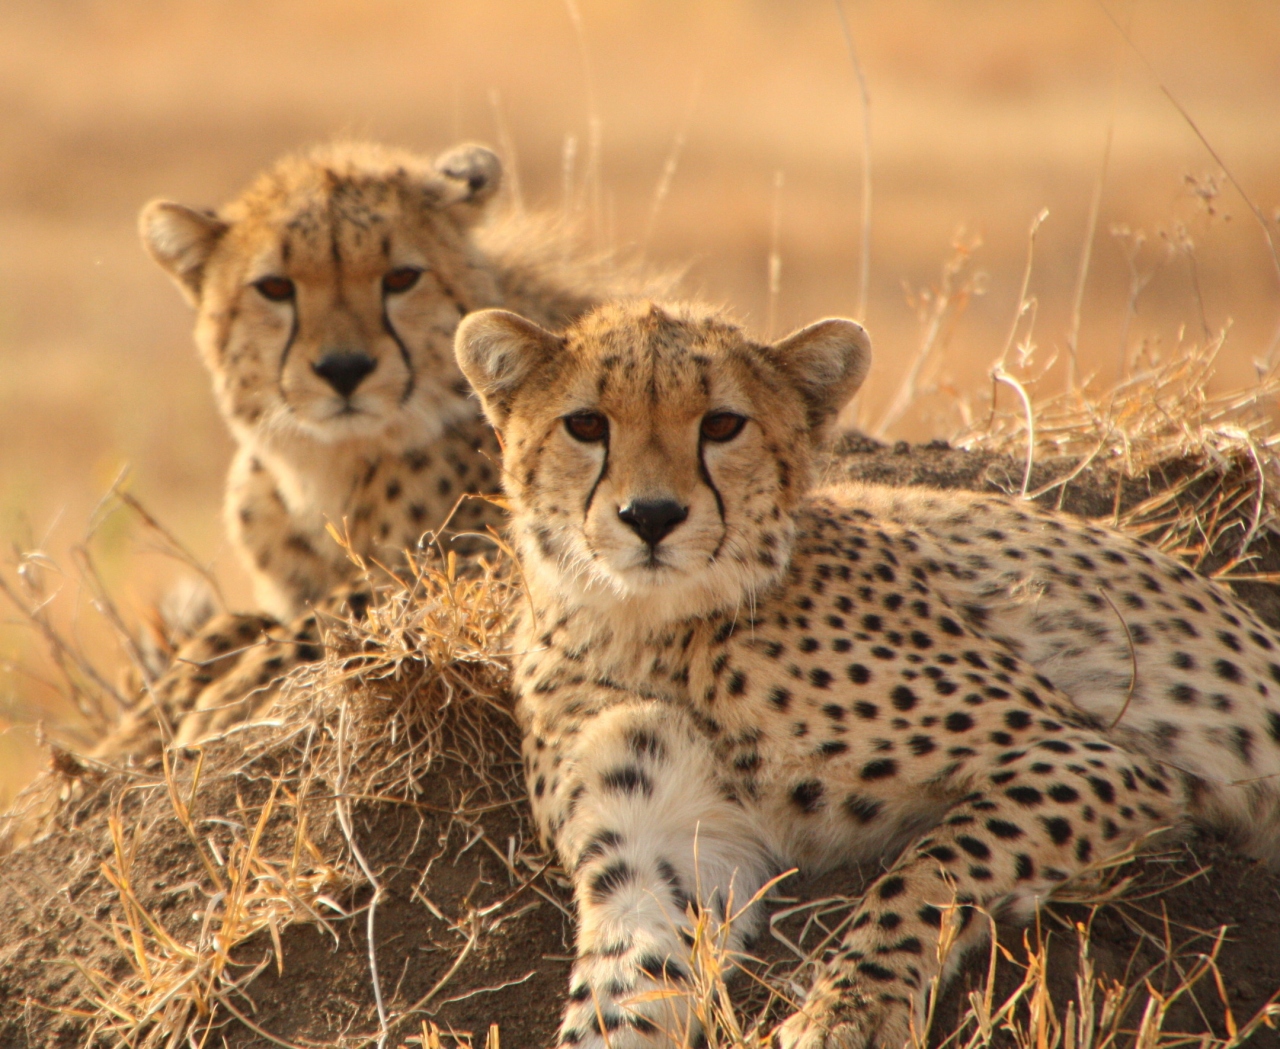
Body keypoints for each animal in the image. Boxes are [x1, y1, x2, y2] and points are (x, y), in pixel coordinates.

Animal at [450, 300, 1280, 1049]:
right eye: (587, 424)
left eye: (722, 425)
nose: (650, 515)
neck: (652, 628)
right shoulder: (657, 846)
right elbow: (624, 984)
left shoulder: (1092, 756)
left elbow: (930, 871)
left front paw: (847, 1013)